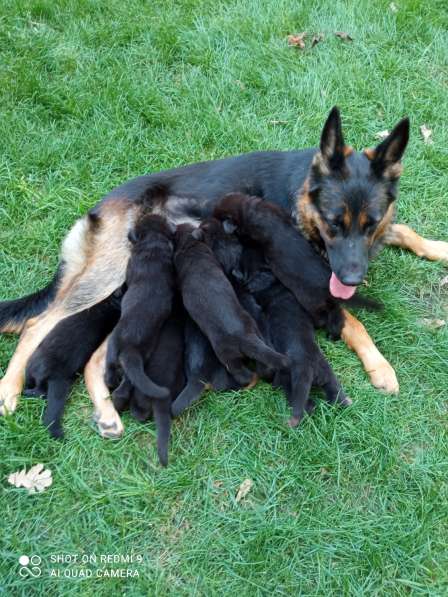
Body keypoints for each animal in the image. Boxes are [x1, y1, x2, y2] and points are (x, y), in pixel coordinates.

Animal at [104, 212, 175, 398]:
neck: (154, 243)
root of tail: (131, 349)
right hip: (141, 357)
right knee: (128, 380)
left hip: (112, 345)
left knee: (111, 369)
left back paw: (111, 385)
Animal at [173, 224, 288, 386]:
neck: (191, 246)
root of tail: (245, 338)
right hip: (255, 330)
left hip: (225, 354)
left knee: (240, 372)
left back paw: (250, 381)